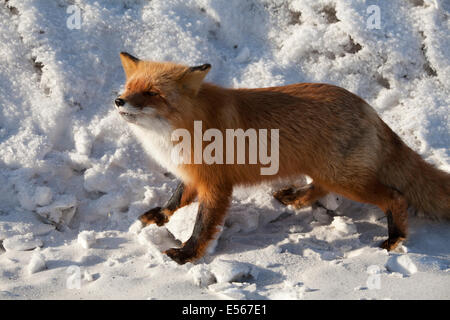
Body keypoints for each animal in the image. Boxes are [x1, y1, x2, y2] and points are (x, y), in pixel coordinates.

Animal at [117, 51, 450, 264]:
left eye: (152, 93)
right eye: (130, 87)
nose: (118, 100)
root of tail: (367, 108)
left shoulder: (215, 183)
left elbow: (202, 224)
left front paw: (187, 254)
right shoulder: (192, 174)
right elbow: (175, 200)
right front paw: (161, 216)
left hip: (345, 179)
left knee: (395, 197)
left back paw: (395, 236)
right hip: (328, 171)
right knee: (321, 186)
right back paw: (298, 197)